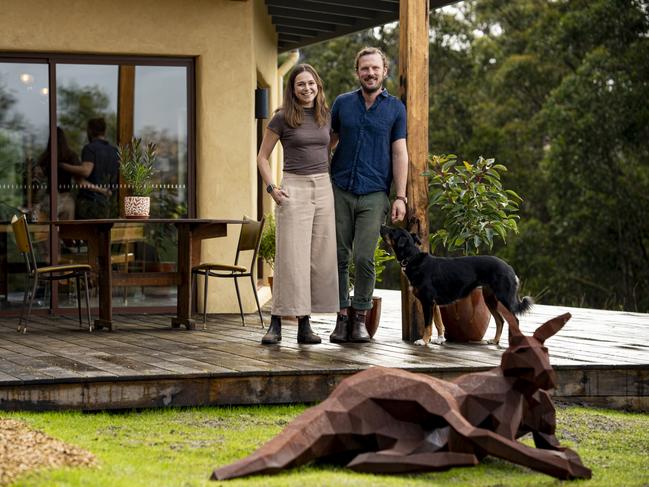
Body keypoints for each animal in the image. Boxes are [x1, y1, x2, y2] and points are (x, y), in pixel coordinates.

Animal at [380, 226, 532, 346]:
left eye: (392, 231)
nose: (382, 225)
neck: (413, 259)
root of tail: (510, 269)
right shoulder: (434, 304)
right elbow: (438, 322)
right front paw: (439, 339)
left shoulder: (427, 302)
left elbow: (428, 324)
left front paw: (423, 340)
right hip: (490, 298)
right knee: (500, 321)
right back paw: (495, 341)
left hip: (504, 298)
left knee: (515, 320)